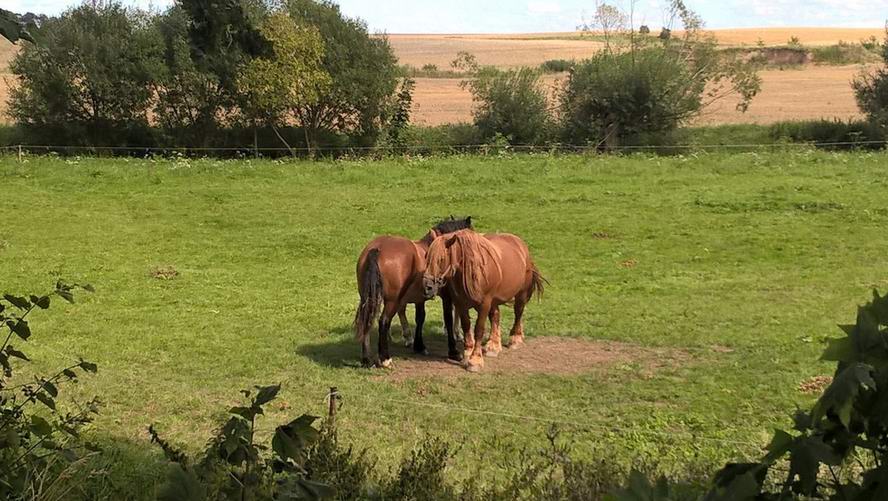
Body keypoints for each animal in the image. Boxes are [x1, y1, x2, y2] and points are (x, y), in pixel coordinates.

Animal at [352, 216, 472, 368]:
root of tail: (377, 248)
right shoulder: (446, 296)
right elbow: (448, 319)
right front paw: (454, 352)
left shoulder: (420, 297)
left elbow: (420, 318)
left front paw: (419, 346)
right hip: (392, 301)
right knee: (383, 321)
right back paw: (385, 358)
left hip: (368, 298)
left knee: (367, 320)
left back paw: (366, 359)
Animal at [422, 229, 544, 372]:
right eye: (426, 257)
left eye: (441, 259)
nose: (427, 287)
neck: (471, 271)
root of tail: (521, 245)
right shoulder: (461, 303)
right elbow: (466, 326)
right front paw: (467, 354)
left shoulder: (484, 304)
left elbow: (479, 329)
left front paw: (475, 360)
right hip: (494, 301)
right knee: (496, 316)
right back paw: (493, 346)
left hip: (520, 294)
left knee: (518, 313)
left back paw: (515, 339)